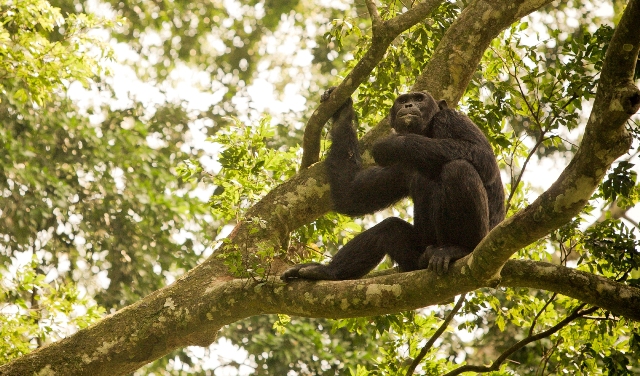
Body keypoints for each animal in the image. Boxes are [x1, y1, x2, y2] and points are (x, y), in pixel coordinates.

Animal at [282, 89, 504, 282]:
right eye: (403, 100)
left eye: (419, 98)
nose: (408, 105)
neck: (427, 132)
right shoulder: (399, 167)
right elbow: (352, 194)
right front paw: (343, 111)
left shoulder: (451, 118)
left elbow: (482, 155)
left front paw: (391, 143)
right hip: (416, 258)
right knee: (388, 229)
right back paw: (327, 272)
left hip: (479, 242)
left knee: (459, 168)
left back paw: (457, 249)